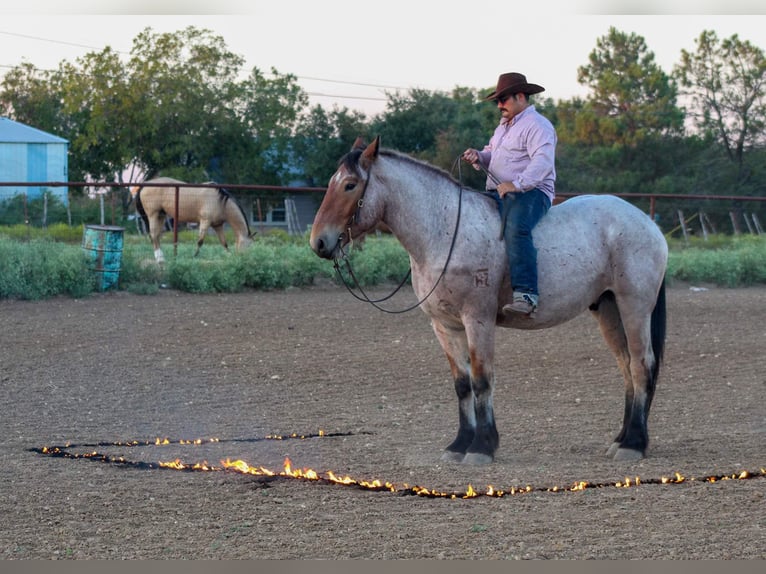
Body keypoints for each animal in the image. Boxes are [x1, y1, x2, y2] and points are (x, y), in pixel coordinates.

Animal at [310, 137, 668, 466]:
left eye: (350, 185)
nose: (319, 242)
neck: (445, 232)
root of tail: (648, 223)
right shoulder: (445, 326)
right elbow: (462, 384)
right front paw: (459, 445)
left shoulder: (477, 319)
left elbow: (482, 379)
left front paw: (482, 447)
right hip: (607, 309)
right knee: (626, 367)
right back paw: (622, 438)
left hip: (634, 307)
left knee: (641, 365)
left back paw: (633, 444)